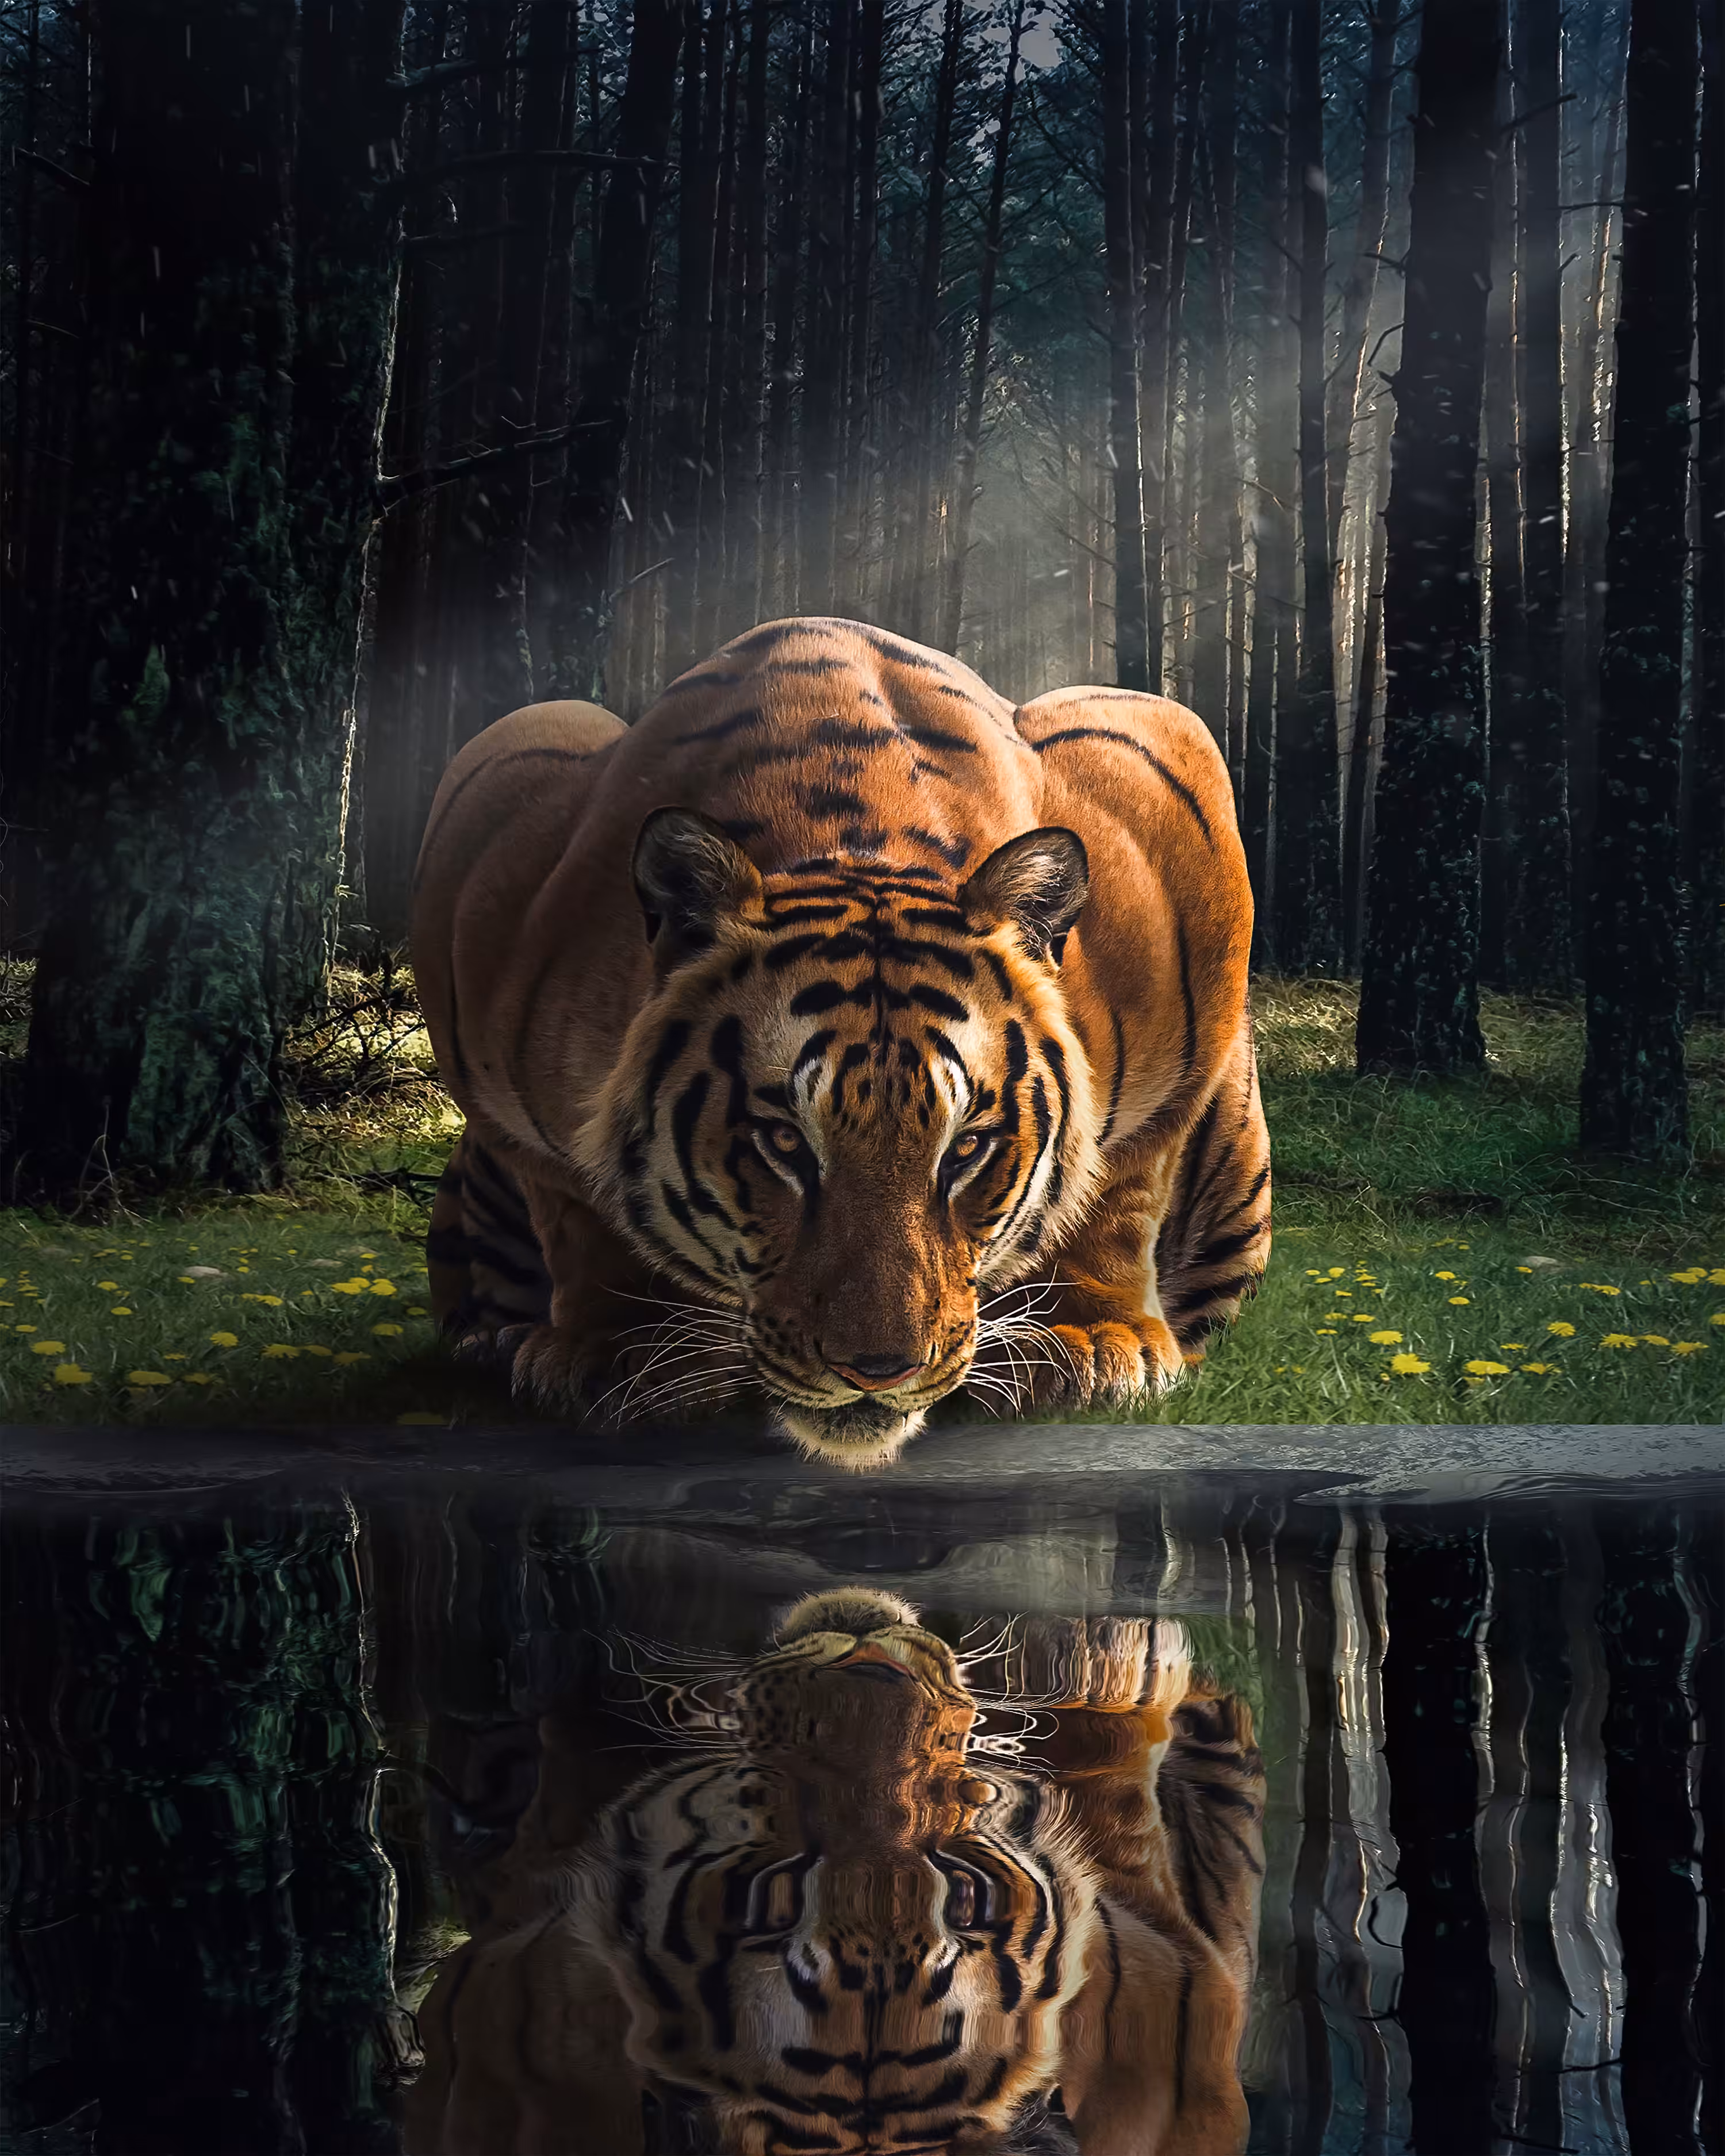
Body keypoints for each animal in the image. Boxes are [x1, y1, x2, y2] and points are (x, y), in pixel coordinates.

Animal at [411, 615, 1269, 1468]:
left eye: (966, 1148)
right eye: (785, 1143)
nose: (878, 1370)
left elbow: (1122, 1185)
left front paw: (1089, 1344)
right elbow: (576, 1208)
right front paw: (621, 1352)